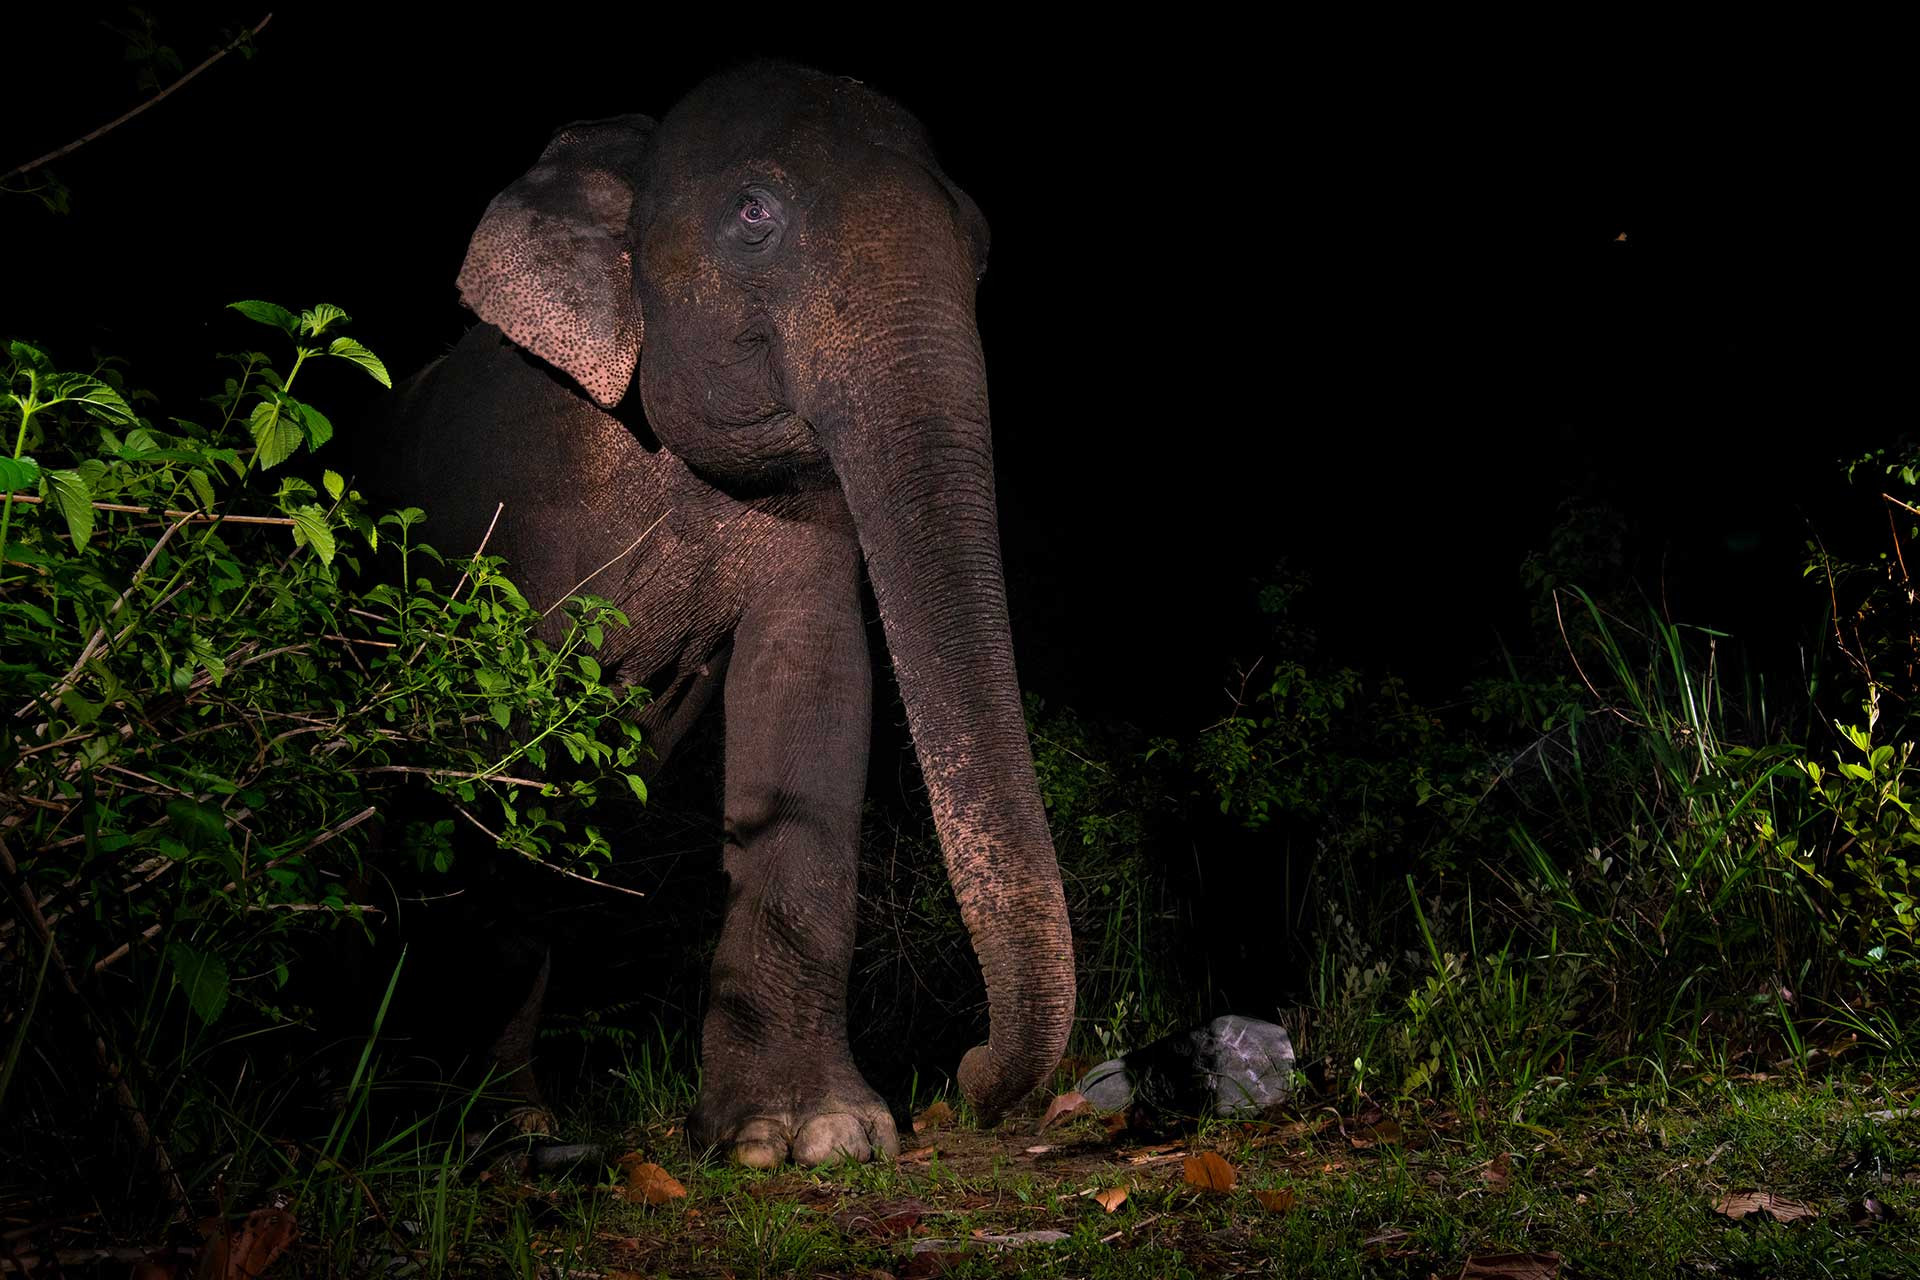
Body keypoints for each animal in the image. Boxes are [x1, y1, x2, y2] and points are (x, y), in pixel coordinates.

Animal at [380, 61, 1074, 1168]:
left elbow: (811, 686)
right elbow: (497, 750)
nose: (964, 1077)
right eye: (754, 214)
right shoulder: (495, 512)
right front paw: (462, 1139)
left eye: (978, 242)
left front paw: (803, 1134)